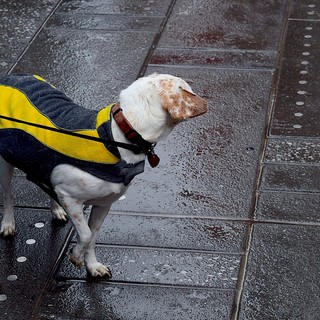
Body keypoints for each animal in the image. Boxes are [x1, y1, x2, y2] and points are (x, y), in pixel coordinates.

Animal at [0, 73, 208, 278]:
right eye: (189, 90)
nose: (207, 102)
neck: (119, 137)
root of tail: (14, 76)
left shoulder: (103, 204)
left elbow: (93, 236)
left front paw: (92, 266)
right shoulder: (70, 198)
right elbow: (85, 234)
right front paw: (76, 256)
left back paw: (56, 210)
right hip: (5, 163)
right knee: (8, 195)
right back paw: (8, 224)